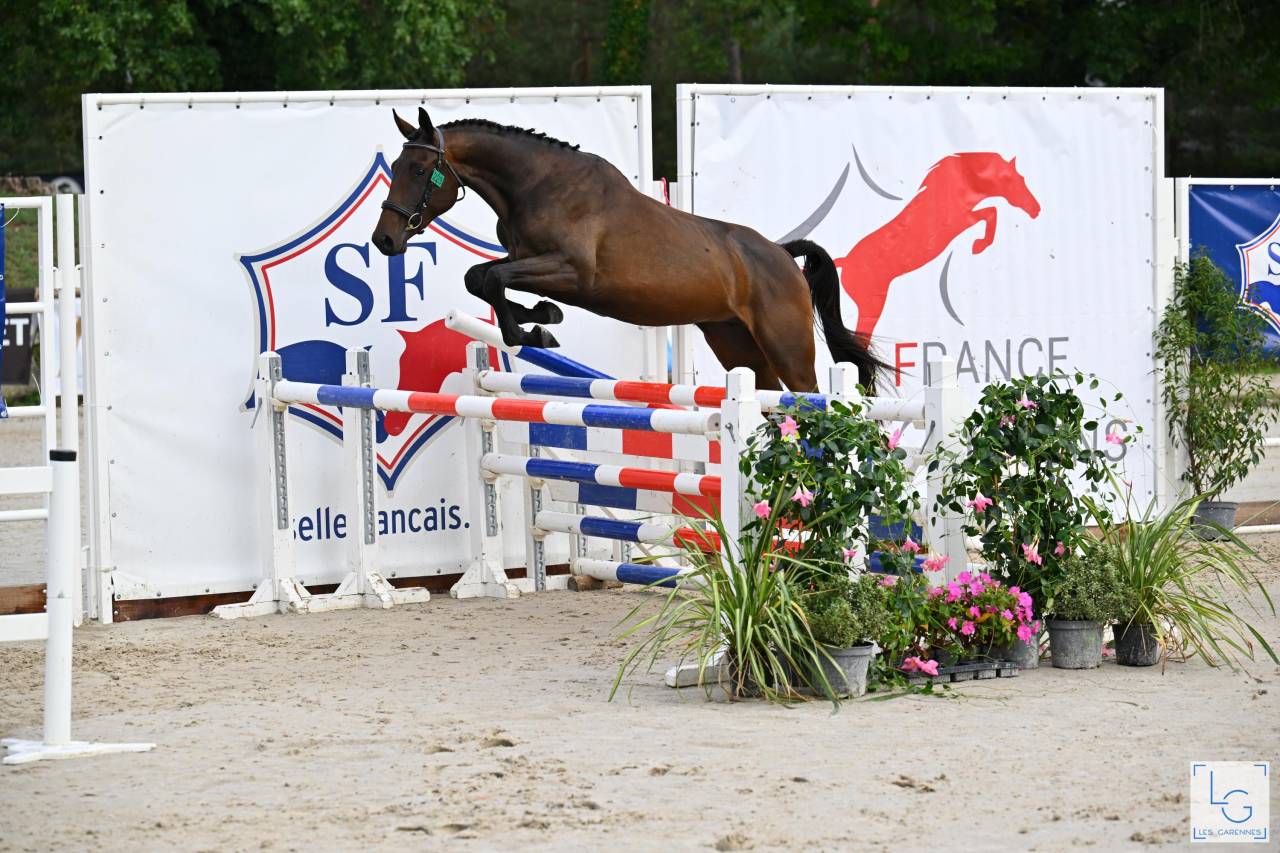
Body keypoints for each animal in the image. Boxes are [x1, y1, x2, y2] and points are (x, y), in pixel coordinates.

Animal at [371, 108, 879, 393]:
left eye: (419, 170)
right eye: (395, 164)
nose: (384, 239)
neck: (537, 185)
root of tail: (781, 254)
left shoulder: (573, 273)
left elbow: (491, 277)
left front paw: (535, 329)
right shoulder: (525, 259)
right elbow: (480, 277)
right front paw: (541, 319)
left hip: (787, 348)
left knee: (811, 397)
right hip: (737, 344)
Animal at [833, 153, 1040, 341]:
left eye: (1022, 179)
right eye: (1009, 180)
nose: (1036, 209)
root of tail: (846, 261)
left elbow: (991, 212)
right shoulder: (961, 222)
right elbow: (991, 212)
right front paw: (979, 246)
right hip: (871, 307)